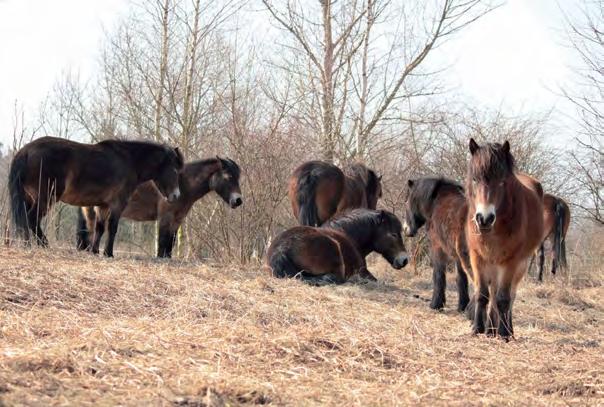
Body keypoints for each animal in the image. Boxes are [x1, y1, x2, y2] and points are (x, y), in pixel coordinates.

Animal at [8, 137, 184, 258]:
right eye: (175, 170)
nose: (176, 195)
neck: (129, 161)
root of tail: (26, 151)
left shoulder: (102, 205)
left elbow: (99, 228)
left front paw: (95, 251)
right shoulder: (117, 204)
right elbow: (112, 228)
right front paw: (109, 253)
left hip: (29, 197)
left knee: (25, 218)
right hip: (46, 198)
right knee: (31, 218)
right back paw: (40, 244)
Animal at [76, 157, 242, 258]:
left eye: (238, 177)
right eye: (228, 177)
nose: (238, 200)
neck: (182, 183)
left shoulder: (177, 219)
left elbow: (171, 240)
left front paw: (168, 257)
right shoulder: (165, 217)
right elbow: (163, 240)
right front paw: (161, 258)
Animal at [404, 177, 474, 314]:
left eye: (406, 202)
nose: (405, 229)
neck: (435, 203)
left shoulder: (437, 248)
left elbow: (438, 275)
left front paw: (436, 304)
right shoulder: (457, 256)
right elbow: (461, 279)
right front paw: (462, 306)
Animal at [464, 139, 544, 340]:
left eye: (501, 182)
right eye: (475, 179)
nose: (484, 219)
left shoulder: (510, 262)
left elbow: (503, 298)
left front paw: (504, 334)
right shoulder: (477, 257)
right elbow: (482, 294)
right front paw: (477, 329)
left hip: (519, 266)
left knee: (509, 296)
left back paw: (506, 329)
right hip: (492, 264)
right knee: (492, 293)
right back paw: (490, 330)